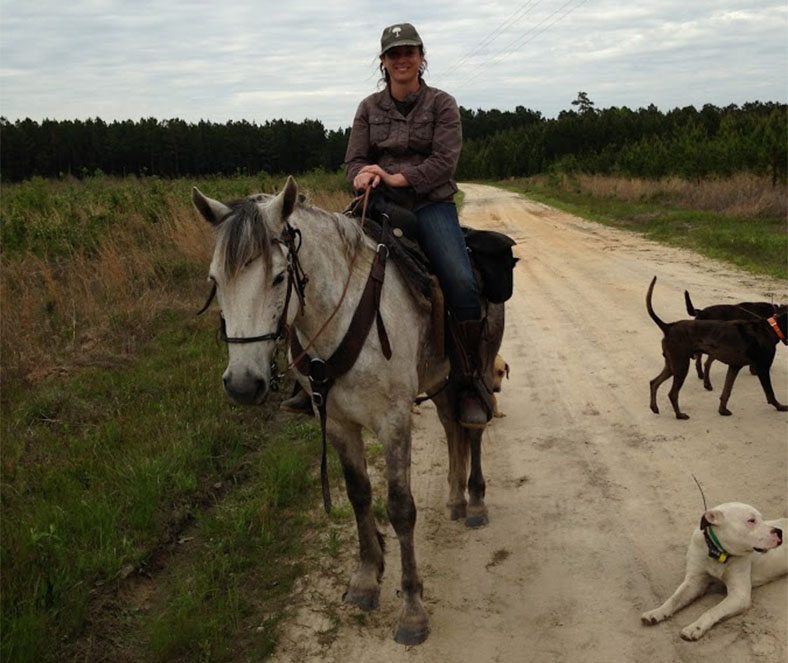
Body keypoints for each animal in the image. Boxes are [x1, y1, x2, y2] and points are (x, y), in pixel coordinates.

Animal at [194, 176, 508, 644]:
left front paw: (412, 609)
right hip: (440, 379)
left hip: (479, 368)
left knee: (472, 426)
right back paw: (454, 497)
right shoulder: (338, 422)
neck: (341, 313)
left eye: (280, 277)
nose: (244, 385)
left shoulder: (394, 422)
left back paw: (474, 501)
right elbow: (359, 495)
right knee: (450, 425)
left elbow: (400, 508)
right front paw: (365, 578)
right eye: (215, 280)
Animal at [644, 506, 784, 640]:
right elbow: (674, 599)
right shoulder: (694, 582)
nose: (779, 532)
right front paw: (656, 612)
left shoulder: (739, 596)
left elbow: (713, 610)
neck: (718, 553)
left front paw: (695, 628)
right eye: (751, 520)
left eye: (763, 519)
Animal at [648, 276, 788, 420]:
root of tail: (668, 327)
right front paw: (780, 407)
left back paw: (655, 407)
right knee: (673, 393)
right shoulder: (763, 368)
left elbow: (727, 391)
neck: (771, 328)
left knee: (654, 382)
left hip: (672, 365)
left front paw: (722, 410)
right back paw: (679, 414)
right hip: (681, 365)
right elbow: (770, 393)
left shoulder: (734, 367)